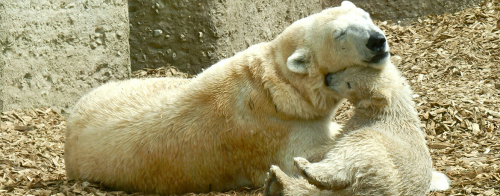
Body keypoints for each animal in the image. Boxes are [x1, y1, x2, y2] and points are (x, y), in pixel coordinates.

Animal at [63, 1, 390, 194]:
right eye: (340, 34)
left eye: (365, 16)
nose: (377, 40)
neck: (280, 86)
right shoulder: (272, 132)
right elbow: (306, 156)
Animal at [264, 63, 452, 196]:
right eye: (346, 68)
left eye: (350, 84)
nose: (328, 79)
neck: (391, 109)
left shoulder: (362, 123)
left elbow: (333, 144)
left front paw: (311, 156)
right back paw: (276, 183)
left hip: (376, 156)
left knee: (347, 157)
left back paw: (300, 169)